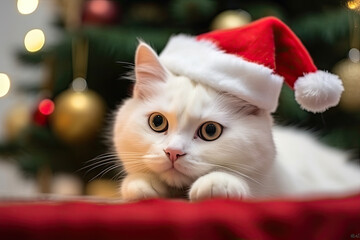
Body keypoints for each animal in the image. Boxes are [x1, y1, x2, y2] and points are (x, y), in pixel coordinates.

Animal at [114, 42, 360, 202]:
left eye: (210, 130)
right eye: (157, 122)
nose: (173, 152)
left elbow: (245, 183)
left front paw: (217, 183)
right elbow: (137, 183)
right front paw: (143, 184)